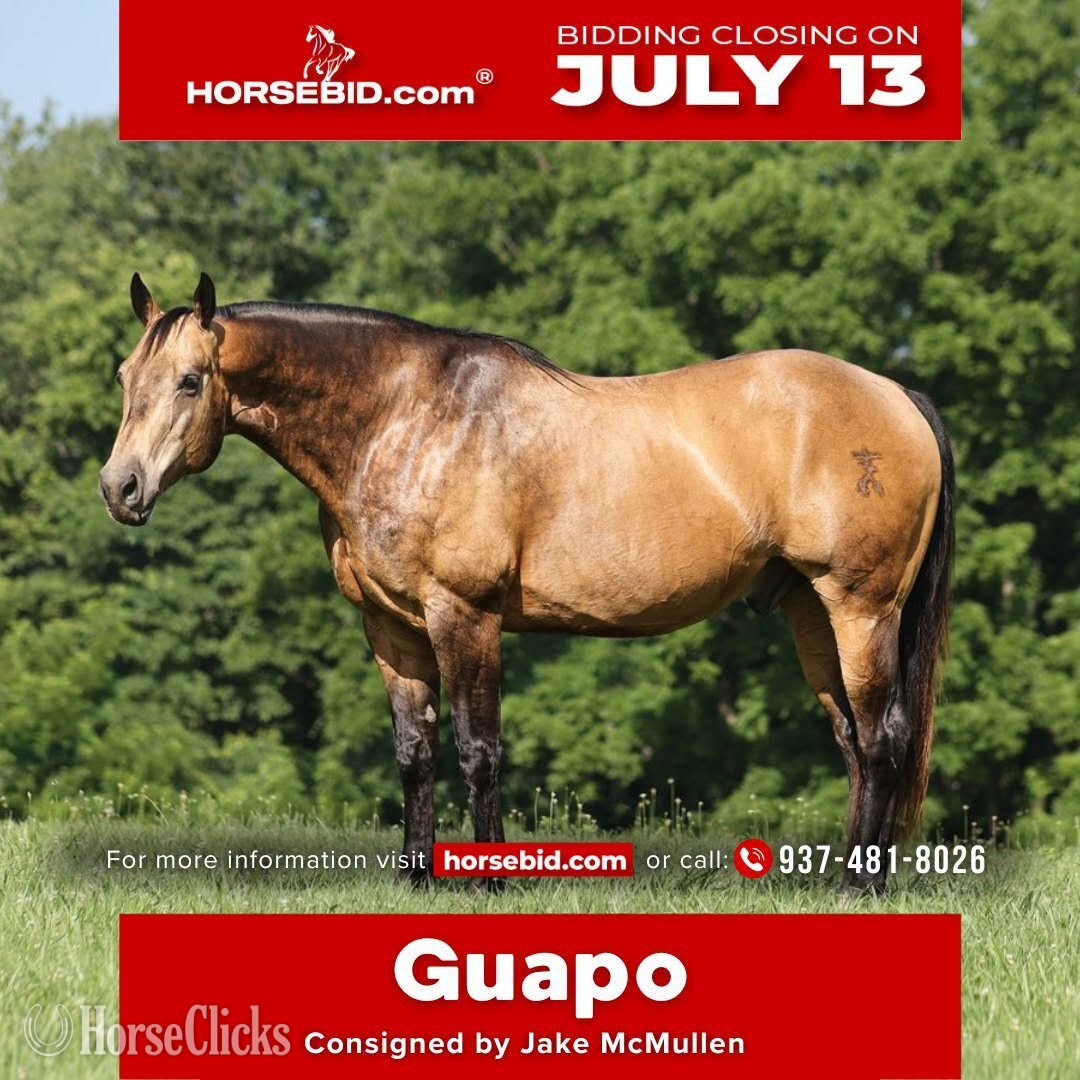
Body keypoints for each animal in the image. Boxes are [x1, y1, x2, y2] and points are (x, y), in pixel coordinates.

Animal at [100, 273, 954, 891]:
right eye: (125, 375)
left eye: (189, 381)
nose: (120, 487)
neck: (405, 419)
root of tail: (897, 395)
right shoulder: (391, 626)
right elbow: (415, 750)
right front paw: (416, 879)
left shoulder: (463, 615)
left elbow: (479, 749)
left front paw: (488, 882)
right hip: (812, 611)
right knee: (852, 741)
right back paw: (842, 879)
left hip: (862, 609)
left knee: (883, 737)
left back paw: (862, 886)